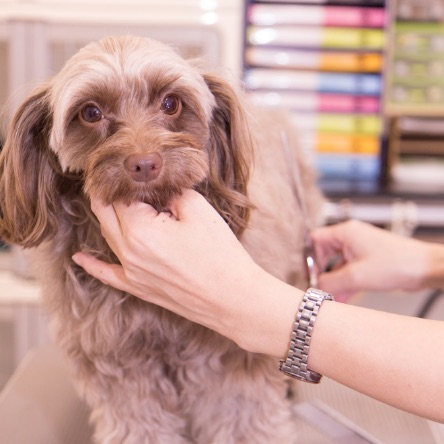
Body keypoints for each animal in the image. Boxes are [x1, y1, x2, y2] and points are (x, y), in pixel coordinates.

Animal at [0, 36, 322, 442]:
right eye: (90, 112)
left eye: (171, 103)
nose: (145, 163)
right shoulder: (119, 363)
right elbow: (139, 423)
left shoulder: (229, 359)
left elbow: (243, 418)